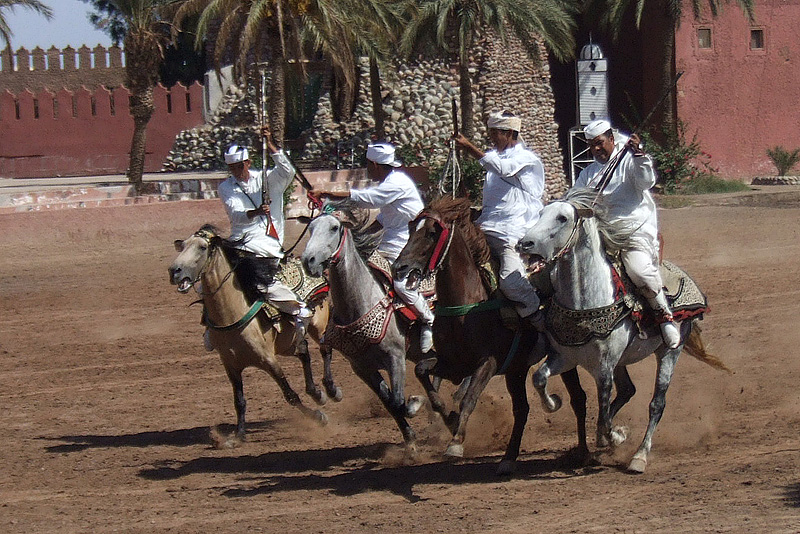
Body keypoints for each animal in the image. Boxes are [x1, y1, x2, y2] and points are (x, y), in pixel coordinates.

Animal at [170, 224, 340, 446]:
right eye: (182, 246)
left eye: (202, 247)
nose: (174, 271)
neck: (232, 315)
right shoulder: (230, 365)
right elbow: (239, 401)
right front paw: (239, 435)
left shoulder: (268, 360)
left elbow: (289, 394)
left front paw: (318, 417)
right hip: (287, 343)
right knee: (304, 353)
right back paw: (316, 393)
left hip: (317, 325)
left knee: (325, 349)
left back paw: (331, 390)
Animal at [394, 199, 588, 476]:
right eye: (411, 228)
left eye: (432, 232)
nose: (399, 267)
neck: (466, 307)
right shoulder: (453, 364)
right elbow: (422, 372)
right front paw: (450, 421)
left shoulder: (488, 363)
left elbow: (468, 399)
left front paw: (456, 443)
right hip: (516, 369)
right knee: (522, 409)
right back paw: (508, 459)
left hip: (563, 360)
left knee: (578, 399)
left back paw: (583, 452)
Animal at [516, 188, 728, 474]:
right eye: (540, 213)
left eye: (562, 218)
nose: (524, 243)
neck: (586, 300)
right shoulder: (565, 358)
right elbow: (539, 378)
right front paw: (554, 403)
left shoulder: (605, 365)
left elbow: (605, 411)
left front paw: (616, 436)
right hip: (622, 361)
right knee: (628, 390)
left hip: (669, 353)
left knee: (657, 403)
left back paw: (639, 456)